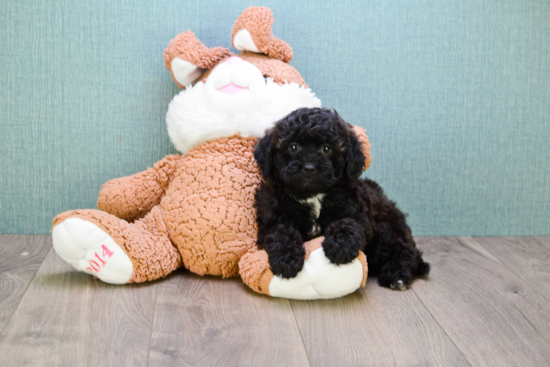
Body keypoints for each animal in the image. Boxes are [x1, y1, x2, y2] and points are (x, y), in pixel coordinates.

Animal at [254, 108, 432, 292]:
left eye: (326, 149)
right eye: (293, 147)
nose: (309, 167)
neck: (312, 195)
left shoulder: (357, 212)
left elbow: (347, 224)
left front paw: (340, 246)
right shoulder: (272, 216)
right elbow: (281, 232)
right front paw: (286, 259)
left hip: (386, 229)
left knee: (405, 252)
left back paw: (397, 275)